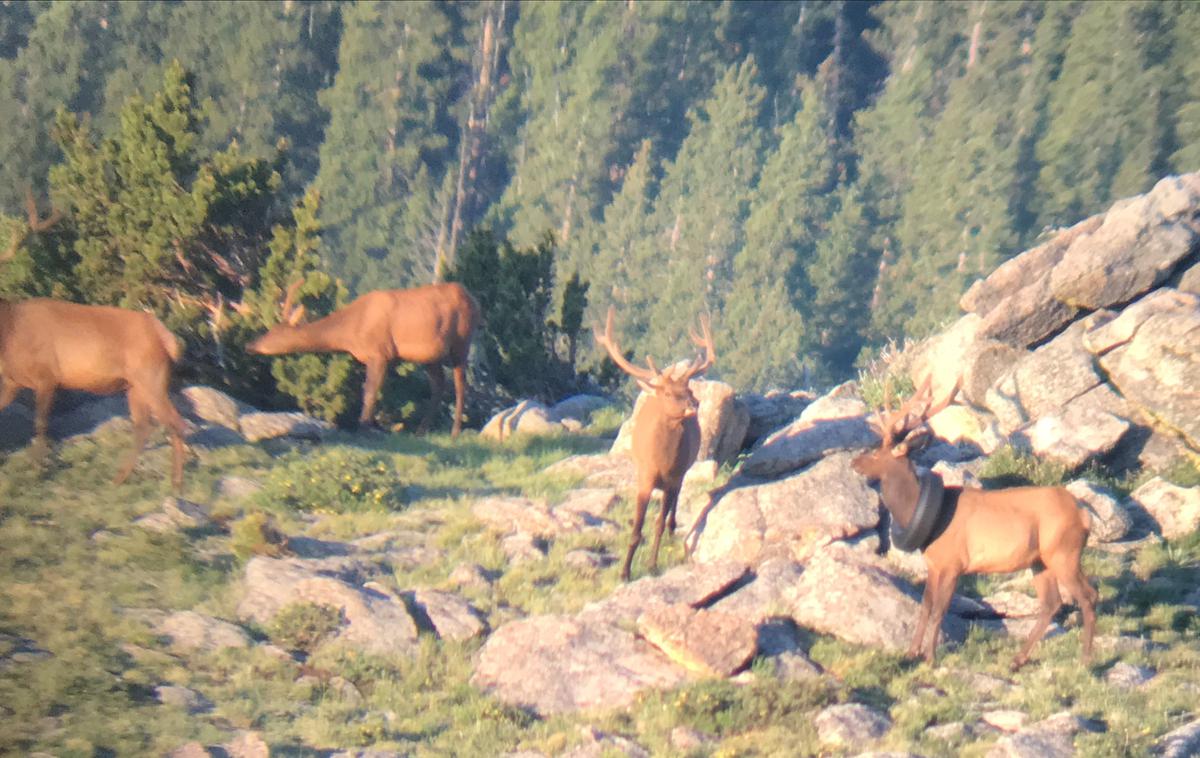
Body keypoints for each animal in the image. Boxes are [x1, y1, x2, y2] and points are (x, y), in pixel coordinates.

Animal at [0, 190, 188, 491]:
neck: (9, 333)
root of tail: (166, 336)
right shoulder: (11, 381)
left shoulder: (47, 377)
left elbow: (40, 424)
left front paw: (38, 471)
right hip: (134, 385)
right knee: (144, 426)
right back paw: (119, 478)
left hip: (152, 376)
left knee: (175, 422)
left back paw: (176, 484)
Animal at [590, 304, 710, 582]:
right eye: (667, 393)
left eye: (689, 389)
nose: (694, 405)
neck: (662, 462)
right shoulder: (644, 477)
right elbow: (636, 529)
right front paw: (624, 572)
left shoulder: (673, 477)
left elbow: (657, 524)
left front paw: (653, 566)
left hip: (682, 473)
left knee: (673, 505)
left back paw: (673, 527)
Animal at [854, 379, 1099, 666]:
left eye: (876, 452)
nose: (854, 461)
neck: (928, 515)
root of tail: (1083, 515)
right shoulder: (934, 564)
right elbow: (925, 607)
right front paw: (911, 653)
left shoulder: (954, 563)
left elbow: (939, 609)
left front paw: (930, 657)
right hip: (1040, 560)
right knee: (1052, 603)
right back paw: (1017, 659)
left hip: (1064, 552)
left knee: (1088, 595)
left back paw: (1085, 660)